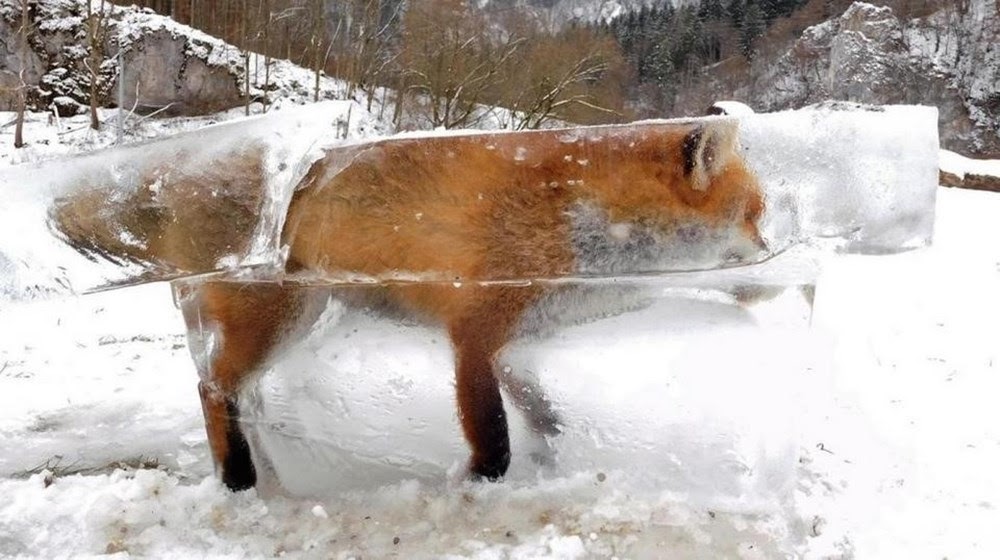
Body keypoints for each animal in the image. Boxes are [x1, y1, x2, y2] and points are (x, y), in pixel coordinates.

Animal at [48, 118, 764, 490]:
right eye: (756, 216)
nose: (771, 254)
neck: (577, 221)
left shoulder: (513, 340)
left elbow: (539, 407)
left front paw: (555, 447)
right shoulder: (473, 330)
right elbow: (493, 432)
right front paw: (479, 481)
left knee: (226, 385)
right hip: (277, 318)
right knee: (211, 387)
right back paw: (239, 474)